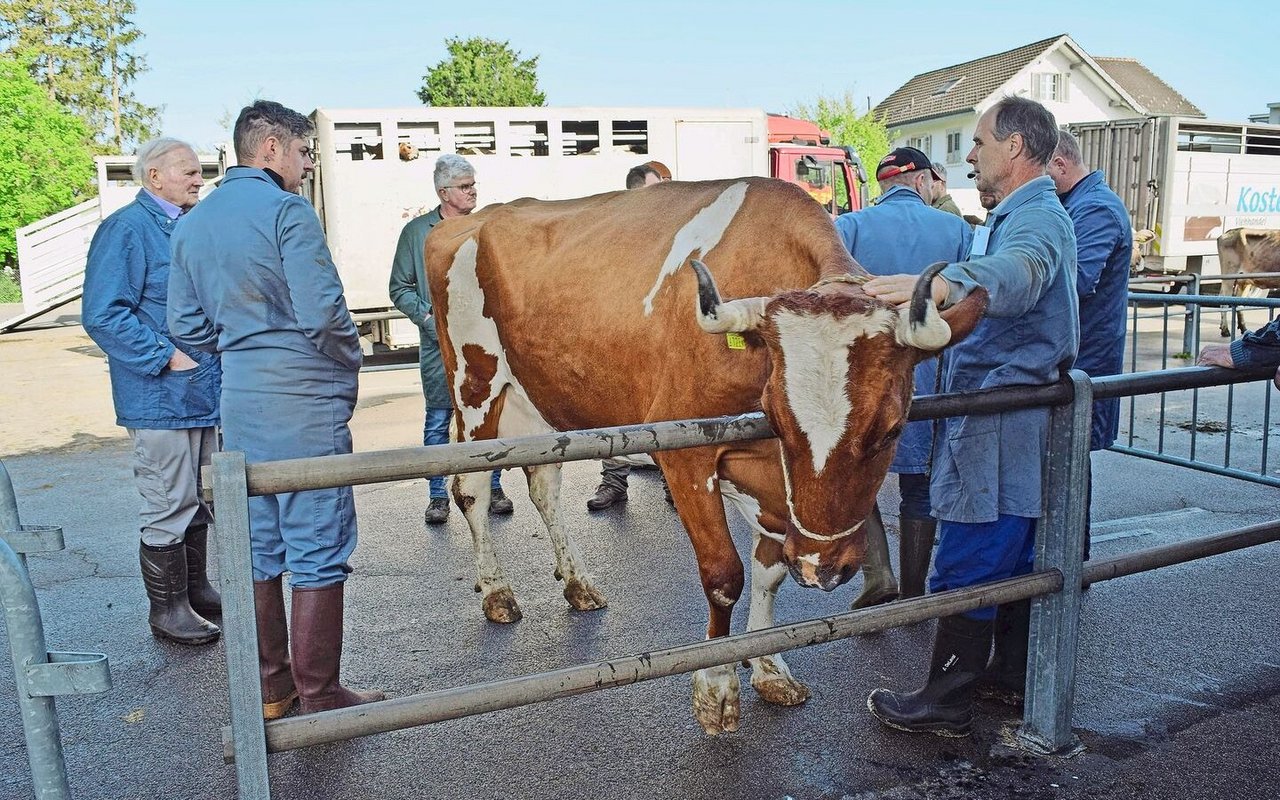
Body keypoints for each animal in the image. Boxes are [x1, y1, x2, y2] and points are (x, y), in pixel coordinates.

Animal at [424, 177, 983, 732]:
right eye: (779, 418)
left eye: (892, 430)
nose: (822, 568)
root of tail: (471, 219)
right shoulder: (686, 457)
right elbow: (723, 575)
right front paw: (716, 688)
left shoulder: (775, 487)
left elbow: (770, 570)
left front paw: (769, 667)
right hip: (474, 387)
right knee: (471, 489)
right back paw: (497, 592)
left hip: (539, 401)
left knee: (544, 485)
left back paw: (579, 583)